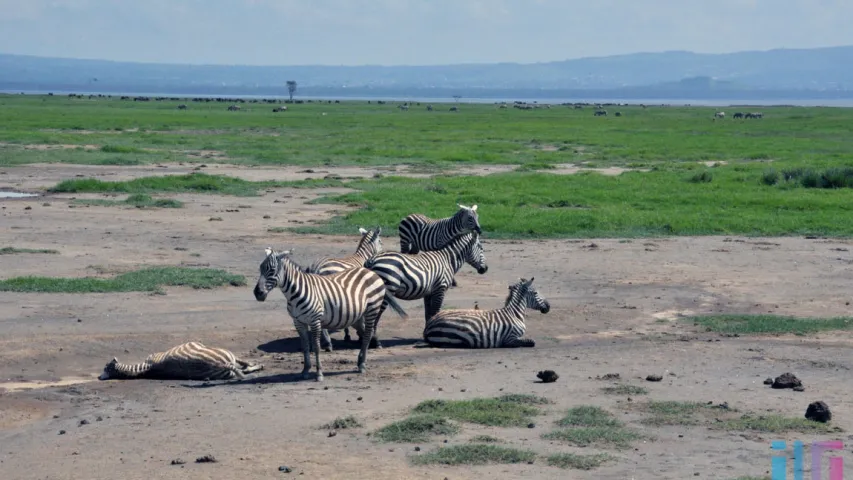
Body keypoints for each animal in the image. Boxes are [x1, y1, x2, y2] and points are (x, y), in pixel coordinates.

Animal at [253, 248, 406, 382]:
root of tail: (370, 271)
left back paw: (362, 365)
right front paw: (305, 371)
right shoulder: (298, 322)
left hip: (372, 309)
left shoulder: (315, 320)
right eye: (260, 268)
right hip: (357, 315)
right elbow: (305, 346)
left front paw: (319, 374)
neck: (295, 293)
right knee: (364, 334)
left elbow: (316, 347)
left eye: (272, 270)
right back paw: (359, 361)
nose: (257, 293)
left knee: (368, 335)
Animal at [362, 232, 490, 322]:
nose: (485, 269)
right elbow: (435, 311)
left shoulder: (428, 292)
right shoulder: (440, 289)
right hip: (386, 289)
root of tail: (372, 260)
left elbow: (428, 314)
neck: (448, 260)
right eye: (481, 248)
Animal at [422, 278, 552, 348]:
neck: (514, 314)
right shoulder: (510, 338)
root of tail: (429, 325)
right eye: (535, 293)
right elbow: (531, 342)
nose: (549, 306)